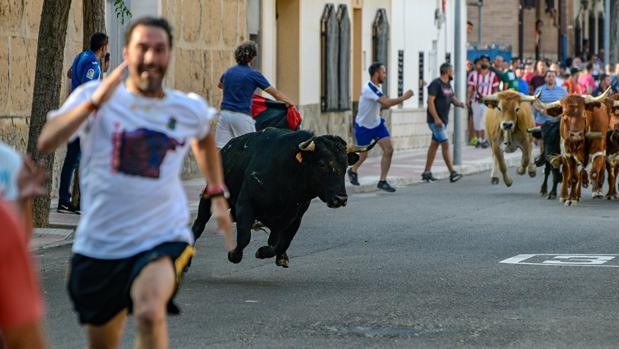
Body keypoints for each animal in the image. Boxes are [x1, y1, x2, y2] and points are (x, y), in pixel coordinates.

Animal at [191, 127, 376, 266]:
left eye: (345, 165)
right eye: (321, 164)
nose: (340, 199)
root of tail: (228, 146)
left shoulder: (295, 217)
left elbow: (280, 244)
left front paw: (266, 253)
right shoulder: (246, 204)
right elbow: (244, 237)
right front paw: (233, 255)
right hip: (210, 195)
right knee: (199, 224)